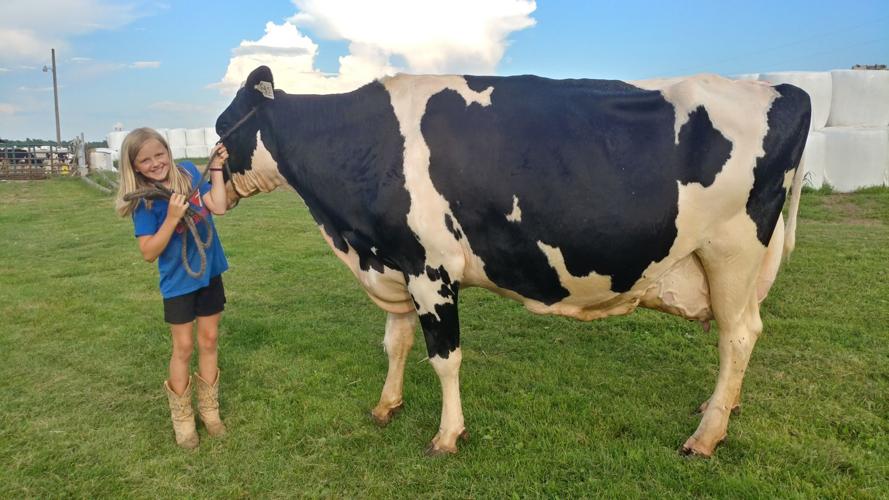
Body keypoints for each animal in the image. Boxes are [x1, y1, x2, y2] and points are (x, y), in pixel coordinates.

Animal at [216, 65, 810, 457]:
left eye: (223, 127)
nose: (206, 195)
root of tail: (780, 87)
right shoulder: (397, 260)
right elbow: (395, 342)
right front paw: (387, 406)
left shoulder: (432, 269)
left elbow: (445, 358)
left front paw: (447, 435)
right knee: (742, 336)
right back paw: (720, 411)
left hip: (731, 252)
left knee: (738, 336)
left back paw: (705, 437)